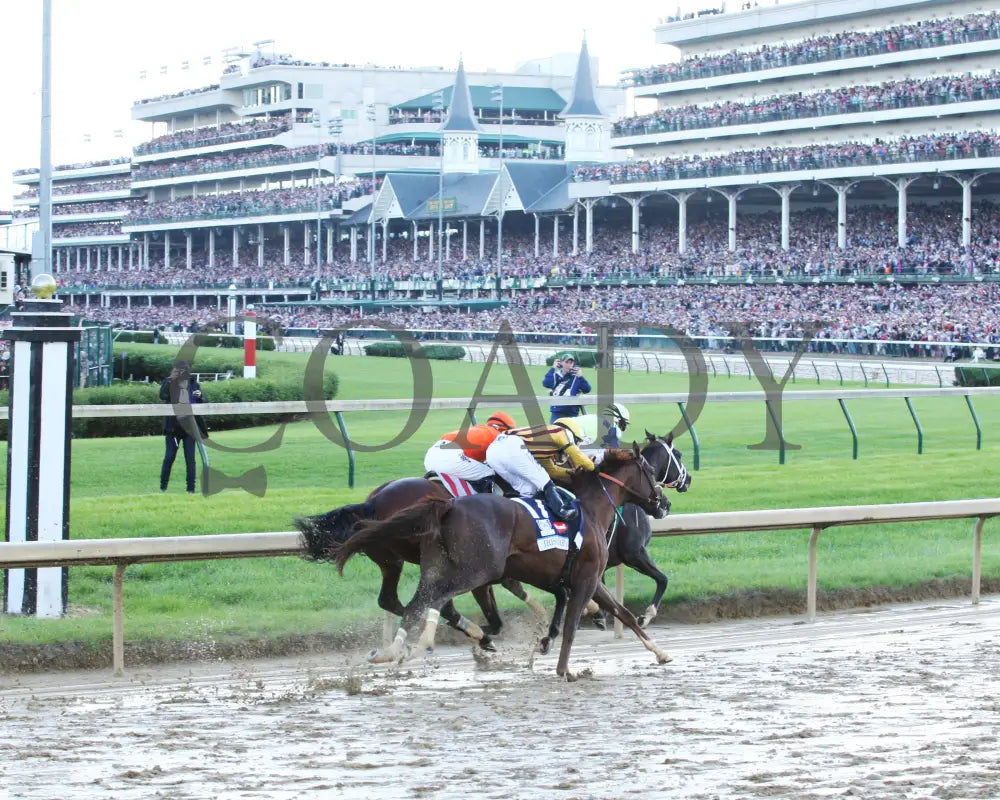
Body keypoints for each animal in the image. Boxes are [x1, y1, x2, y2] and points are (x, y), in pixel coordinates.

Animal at [332, 446, 676, 680]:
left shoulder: (585, 579)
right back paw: (425, 644)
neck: (590, 510)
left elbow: (623, 613)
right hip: (474, 569)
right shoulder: (586, 579)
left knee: (418, 601)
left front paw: (660, 653)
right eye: (650, 471)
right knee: (438, 599)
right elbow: (571, 625)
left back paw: (394, 651)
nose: (665, 503)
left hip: (434, 566)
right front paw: (563, 669)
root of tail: (447, 506)